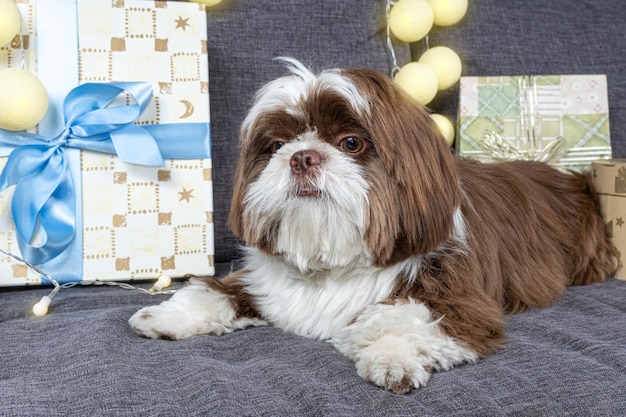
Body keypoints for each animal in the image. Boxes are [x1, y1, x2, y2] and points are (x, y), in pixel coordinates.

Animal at [128, 58, 616, 394]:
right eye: (277, 144)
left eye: (351, 143)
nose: (302, 157)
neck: (334, 263)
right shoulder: (263, 281)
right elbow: (217, 290)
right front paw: (169, 314)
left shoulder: (459, 301)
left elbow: (405, 319)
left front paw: (391, 357)